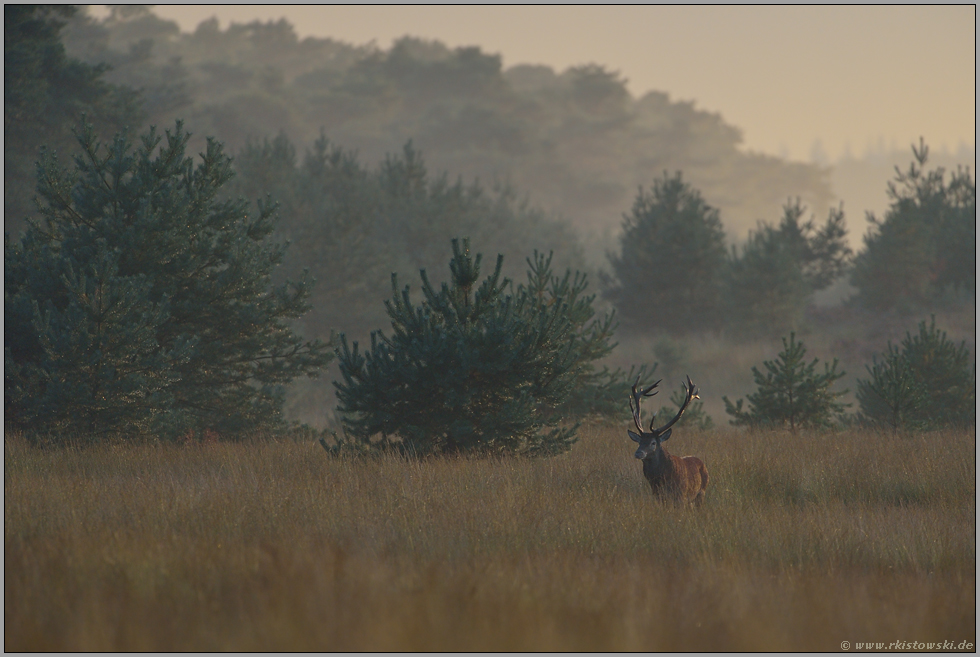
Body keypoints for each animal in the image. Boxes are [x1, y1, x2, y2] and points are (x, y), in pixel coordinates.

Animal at [632, 374, 708, 508]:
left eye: (653, 442)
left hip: (700, 494)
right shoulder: (657, 496)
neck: (660, 480)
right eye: (639, 442)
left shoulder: (681, 496)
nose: (638, 453)